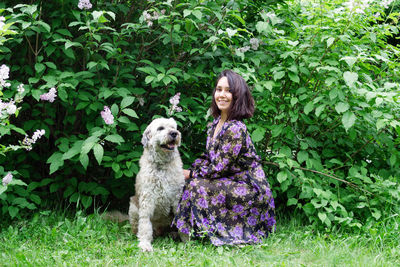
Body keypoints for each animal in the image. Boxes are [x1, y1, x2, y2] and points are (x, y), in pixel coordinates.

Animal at [127, 118, 185, 253]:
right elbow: (145, 225)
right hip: (133, 206)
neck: (162, 166)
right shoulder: (147, 200)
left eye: (173, 127)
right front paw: (145, 244)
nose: (174, 133)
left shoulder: (177, 197)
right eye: (160, 128)